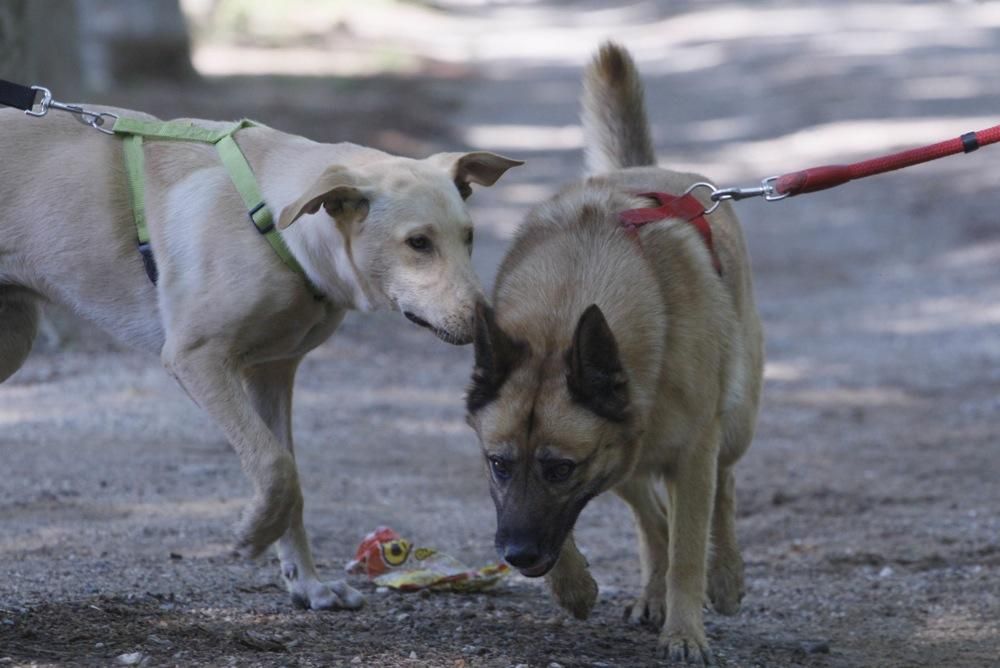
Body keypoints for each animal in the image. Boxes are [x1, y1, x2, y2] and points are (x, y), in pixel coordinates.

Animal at [0, 104, 516, 612]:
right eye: (418, 243)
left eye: (469, 237)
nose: (490, 328)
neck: (274, 223)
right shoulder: (196, 358)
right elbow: (273, 464)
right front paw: (253, 535)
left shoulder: (272, 373)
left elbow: (291, 478)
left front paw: (308, 584)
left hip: (15, 336)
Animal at [464, 43, 760, 664]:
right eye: (498, 464)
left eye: (560, 469)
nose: (516, 556)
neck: (564, 312)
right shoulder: (614, 447)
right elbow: (641, 531)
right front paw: (573, 586)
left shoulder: (689, 454)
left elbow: (689, 549)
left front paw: (686, 631)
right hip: (630, 449)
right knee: (652, 517)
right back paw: (650, 591)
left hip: (730, 425)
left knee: (721, 491)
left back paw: (724, 576)